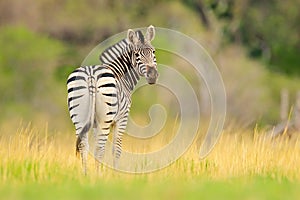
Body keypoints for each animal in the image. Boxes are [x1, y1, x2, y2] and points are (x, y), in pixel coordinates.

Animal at [67, 25, 158, 173]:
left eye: (153, 52)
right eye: (137, 55)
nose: (153, 76)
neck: (120, 73)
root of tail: (91, 75)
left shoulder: (94, 123)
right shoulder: (122, 118)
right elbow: (117, 149)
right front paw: (115, 174)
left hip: (79, 116)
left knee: (84, 145)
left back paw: (85, 174)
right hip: (105, 117)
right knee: (100, 147)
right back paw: (98, 175)